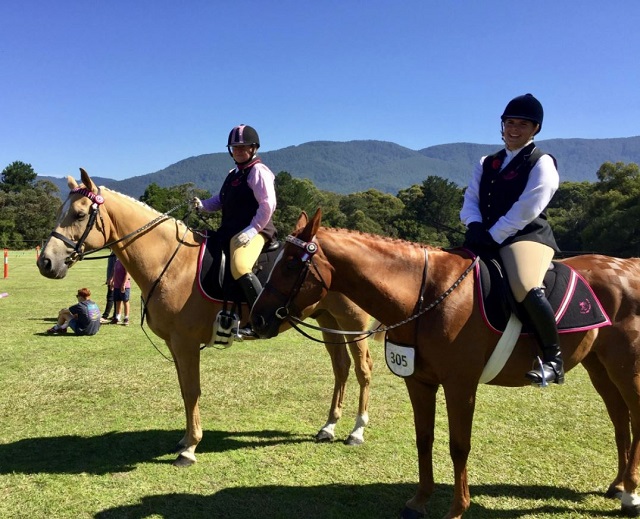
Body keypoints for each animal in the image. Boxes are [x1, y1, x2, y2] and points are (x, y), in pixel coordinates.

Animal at [36, 171, 376, 468]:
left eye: (80, 214)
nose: (45, 262)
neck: (172, 262)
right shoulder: (175, 345)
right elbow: (185, 390)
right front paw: (185, 438)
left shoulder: (185, 342)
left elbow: (192, 391)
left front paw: (189, 448)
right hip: (328, 321)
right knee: (341, 368)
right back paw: (329, 426)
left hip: (352, 325)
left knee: (362, 369)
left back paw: (356, 431)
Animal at [251, 207, 640, 519]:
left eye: (290, 264)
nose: (256, 319)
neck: (426, 295)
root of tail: (630, 265)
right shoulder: (418, 381)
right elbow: (424, 439)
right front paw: (419, 501)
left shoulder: (459, 386)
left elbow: (458, 446)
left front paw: (456, 509)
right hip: (599, 366)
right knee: (620, 419)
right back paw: (618, 485)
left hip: (626, 368)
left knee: (634, 416)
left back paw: (631, 496)